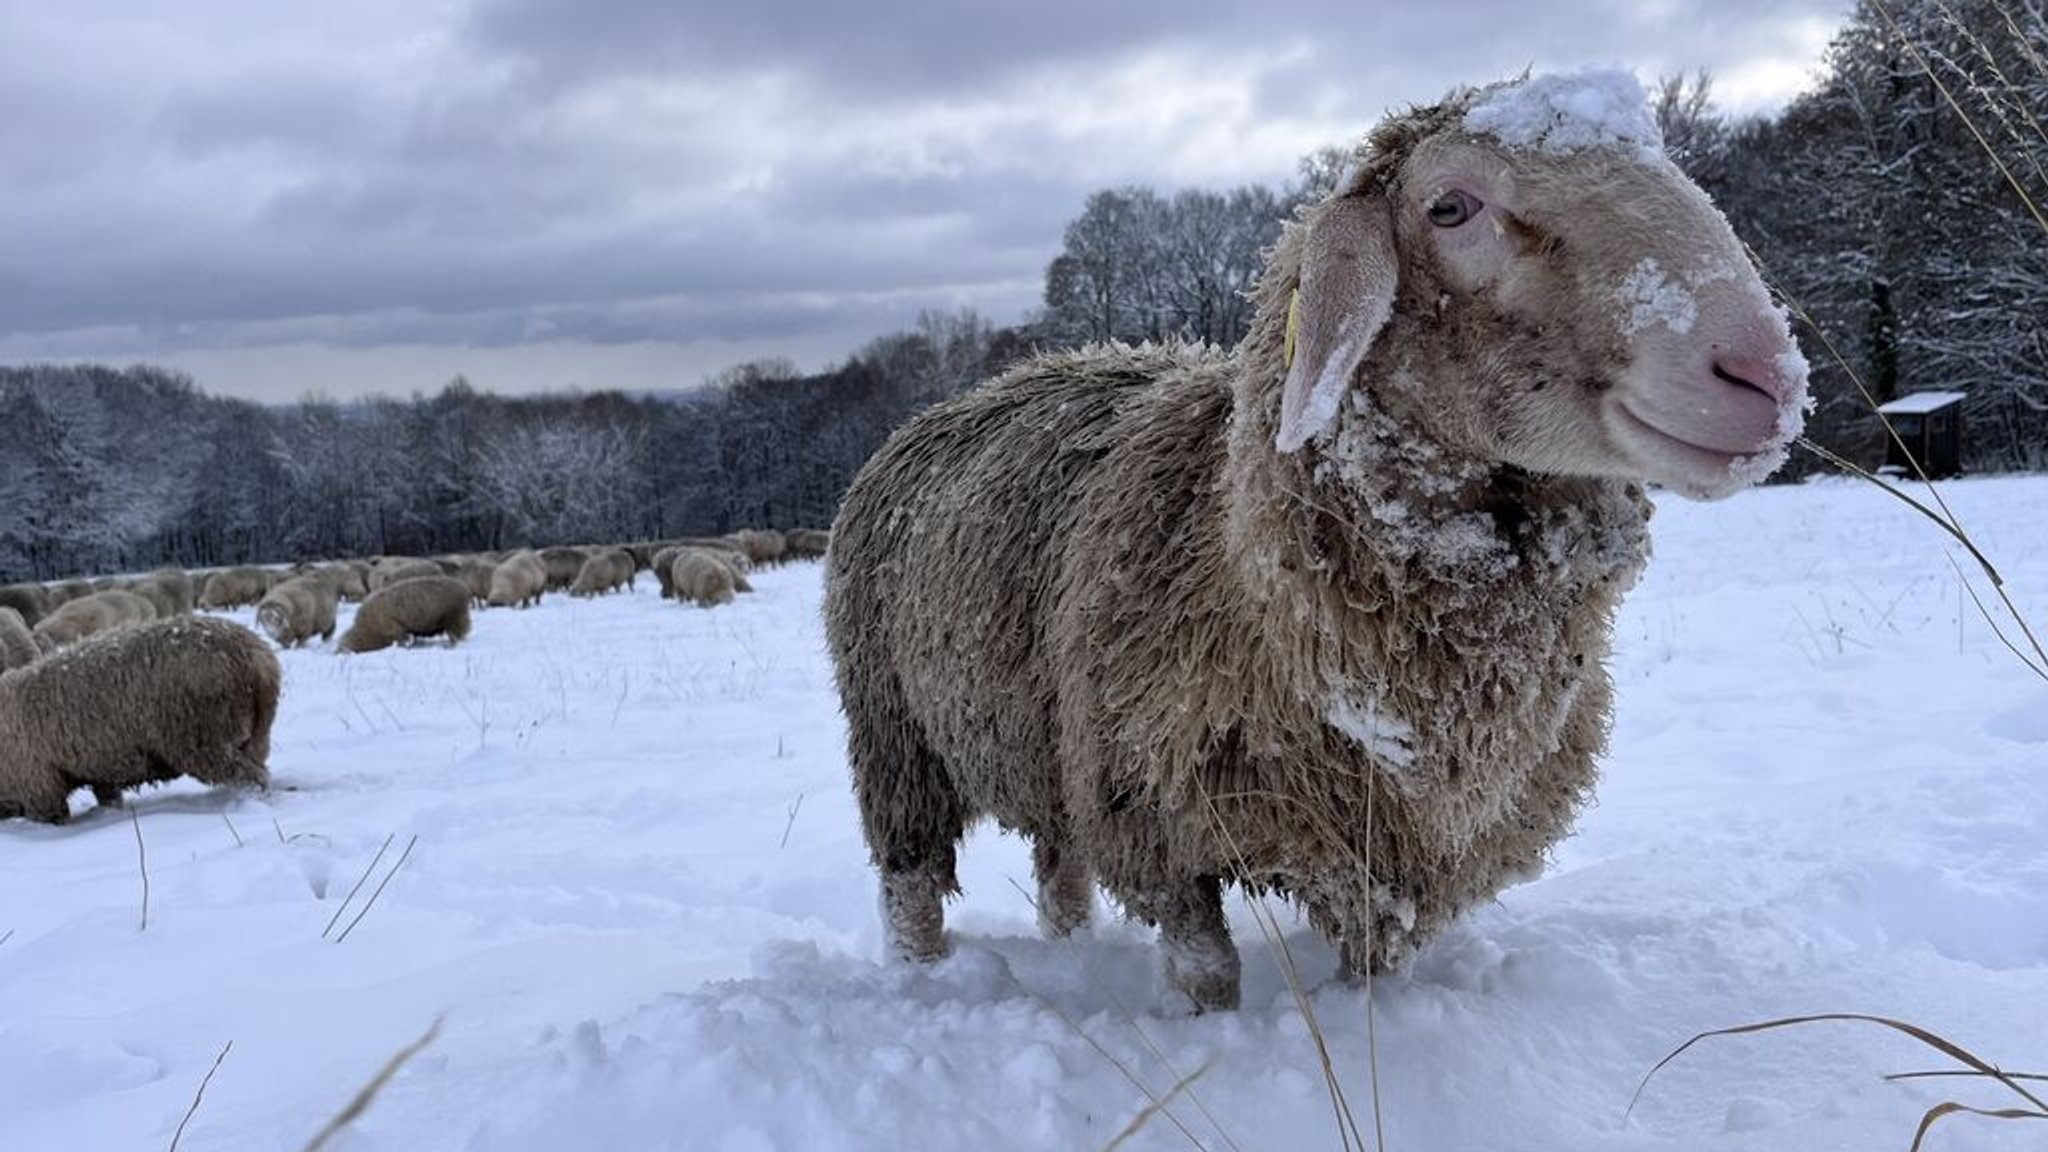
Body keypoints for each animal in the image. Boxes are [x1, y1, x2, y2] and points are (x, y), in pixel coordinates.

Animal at [0, 614, 280, 819]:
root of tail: (258, 658)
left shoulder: (39, 785)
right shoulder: (99, 768)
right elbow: (108, 797)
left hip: (204, 740)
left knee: (252, 779)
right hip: (256, 735)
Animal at [339, 573, 475, 655]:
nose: (337, 653)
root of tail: (463, 588)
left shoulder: (395, 629)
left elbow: (401, 640)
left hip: (454, 616)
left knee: (457, 634)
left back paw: (452, 646)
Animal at [815, 69, 1810, 1004]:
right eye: (1451, 206)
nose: (1765, 373)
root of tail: (975, 391)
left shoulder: (1387, 857)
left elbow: (1375, 973)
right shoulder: (1154, 816)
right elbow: (1209, 972)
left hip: (1042, 743)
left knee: (1058, 863)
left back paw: (1069, 946)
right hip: (896, 736)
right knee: (910, 882)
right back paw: (919, 977)